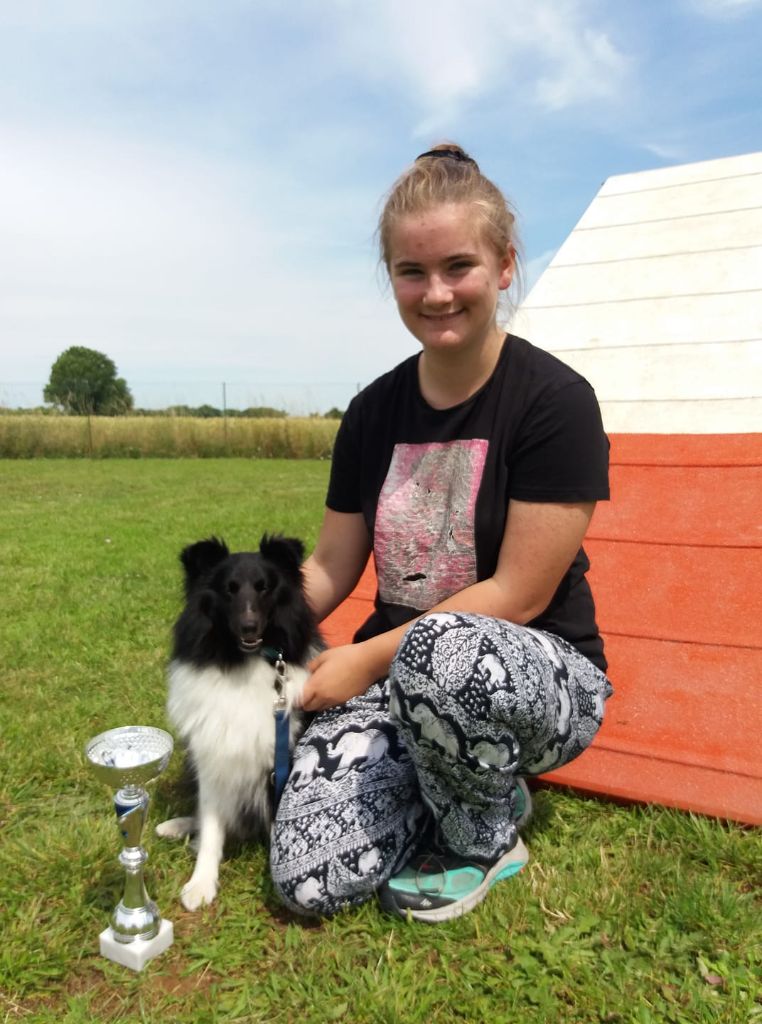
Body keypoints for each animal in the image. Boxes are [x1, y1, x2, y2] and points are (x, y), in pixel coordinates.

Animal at [156, 536, 319, 913]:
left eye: (264, 587)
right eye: (228, 590)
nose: (249, 628)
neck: (243, 662)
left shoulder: (278, 765)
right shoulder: (213, 758)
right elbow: (211, 826)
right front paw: (200, 883)